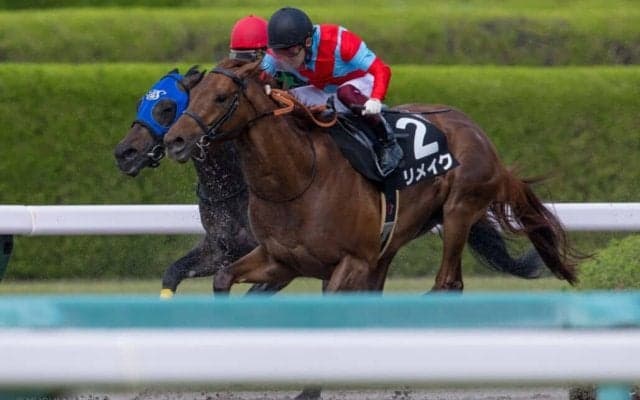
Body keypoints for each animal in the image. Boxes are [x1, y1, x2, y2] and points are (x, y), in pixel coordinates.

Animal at [163, 58, 580, 293]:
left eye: (220, 97)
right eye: (191, 96)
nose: (174, 140)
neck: (296, 181)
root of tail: (479, 133)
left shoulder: (351, 262)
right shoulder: (278, 259)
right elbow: (222, 278)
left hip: (459, 209)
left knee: (447, 282)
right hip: (395, 239)